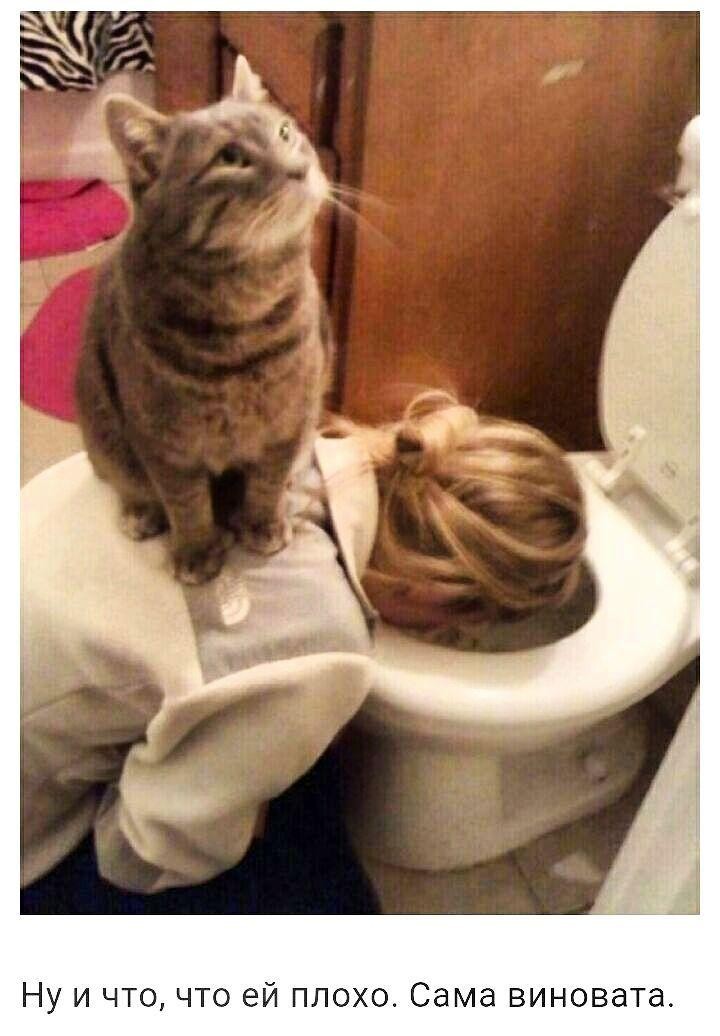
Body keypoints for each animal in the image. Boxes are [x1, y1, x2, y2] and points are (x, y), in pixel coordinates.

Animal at [75, 56, 331, 584]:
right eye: (230, 157)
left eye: (285, 132)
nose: (300, 167)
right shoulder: (164, 443)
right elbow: (186, 503)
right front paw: (196, 553)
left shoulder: (288, 423)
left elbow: (267, 482)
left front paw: (261, 523)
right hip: (101, 426)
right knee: (127, 482)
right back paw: (141, 513)